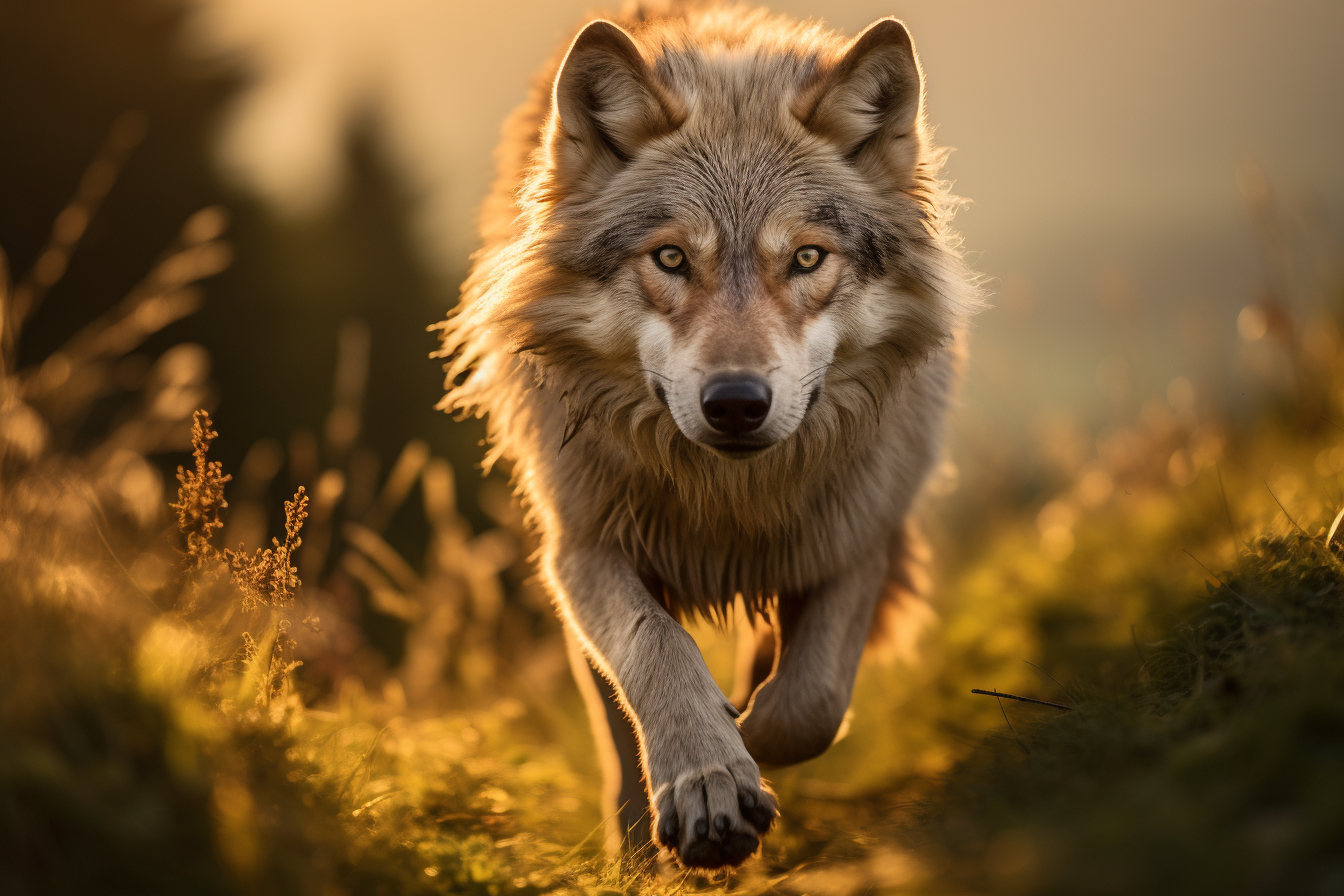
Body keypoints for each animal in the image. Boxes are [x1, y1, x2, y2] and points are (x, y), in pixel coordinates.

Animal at [434, 2, 979, 869]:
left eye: (807, 258)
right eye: (670, 258)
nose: (735, 403)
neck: (730, 500)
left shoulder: (860, 537)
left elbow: (809, 702)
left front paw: (747, 736)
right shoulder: (582, 549)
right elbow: (655, 654)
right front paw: (707, 780)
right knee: (615, 728)